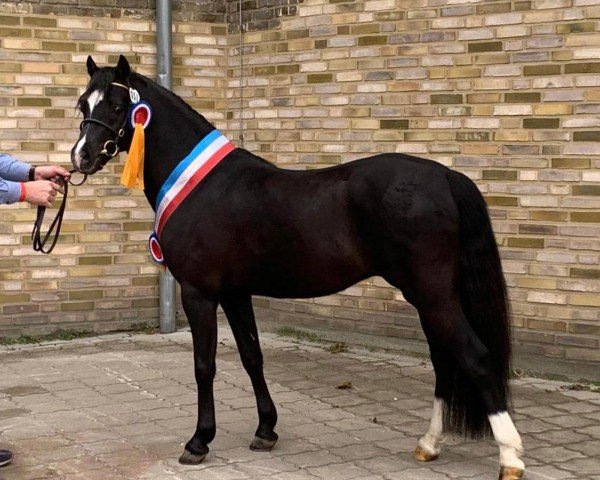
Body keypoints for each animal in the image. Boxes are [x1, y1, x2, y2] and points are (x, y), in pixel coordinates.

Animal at [71, 57, 524, 480]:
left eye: (117, 106)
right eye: (83, 104)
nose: (81, 157)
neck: (203, 187)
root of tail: (445, 175)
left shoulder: (199, 292)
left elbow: (204, 365)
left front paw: (199, 441)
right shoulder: (235, 292)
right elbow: (252, 356)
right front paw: (266, 430)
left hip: (433, 295)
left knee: (476, 358)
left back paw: (510, 458)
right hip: (429, 297)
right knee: (444, 361)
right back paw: (429, 444)